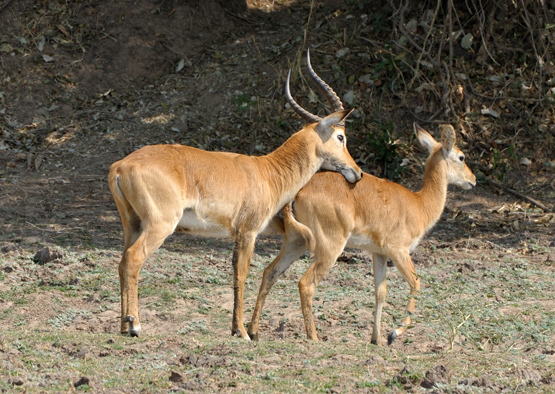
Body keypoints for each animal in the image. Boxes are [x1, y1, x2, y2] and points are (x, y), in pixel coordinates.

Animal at [107, 50, 364, 338]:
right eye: (341, 137)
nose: (357, 173)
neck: (268, 172)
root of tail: (120, 166)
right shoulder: (248, 232)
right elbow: (240, 275)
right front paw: (241, 331)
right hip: (159, 225)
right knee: (133, 259)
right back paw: (135, 325)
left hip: (132, 225)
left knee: (122, 262)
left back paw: (123, 325)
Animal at [249, 123, 478, 344]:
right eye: (461, 156)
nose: (473, 180)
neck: (419, 204)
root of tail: (298, 193)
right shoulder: (398, 250)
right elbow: (416, 283)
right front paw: (393, 334)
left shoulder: (379, 253)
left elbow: (380, 293)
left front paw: (376, 340)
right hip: (330, 247)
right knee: (305, 284)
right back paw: (313, 337)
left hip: (296, 242)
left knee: (270, 272)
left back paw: (253, 332)